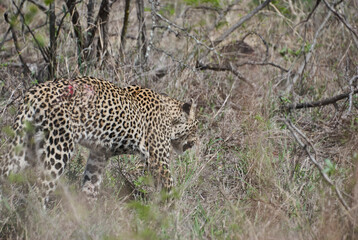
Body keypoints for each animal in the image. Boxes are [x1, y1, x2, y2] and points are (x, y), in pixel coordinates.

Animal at [0, 76, 199, 205]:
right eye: (196, 126)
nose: (196, 142)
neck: (171, 116)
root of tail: (35, 92)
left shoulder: (99, 154)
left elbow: (91, 185)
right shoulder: (158, 159)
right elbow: (169, 187)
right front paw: (173, 218)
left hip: (25, 146)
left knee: (6, 172)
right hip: (58, 148)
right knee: (39, 191)